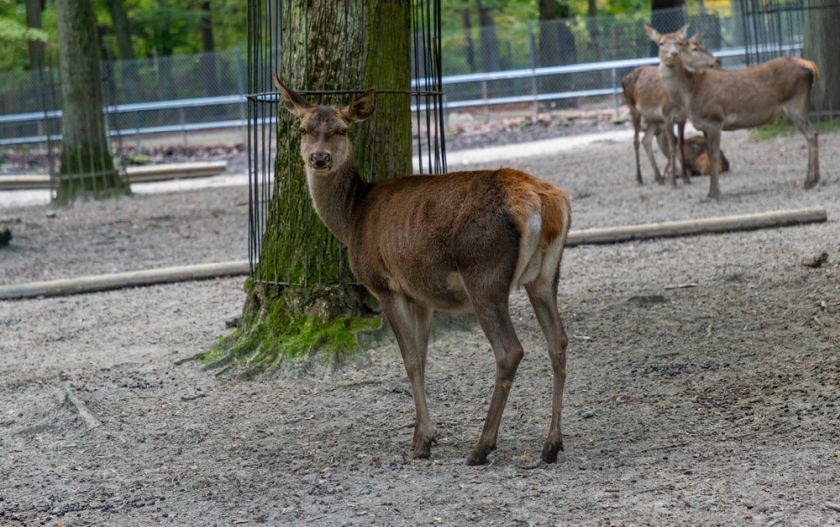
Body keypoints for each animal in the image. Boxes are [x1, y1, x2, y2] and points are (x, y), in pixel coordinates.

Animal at [272, 75, 576, 466]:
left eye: (342, 129)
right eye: (303, 128)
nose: (319, 158)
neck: (351, 219)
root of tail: (545, 201)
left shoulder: (385, 284)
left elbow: (410, 359)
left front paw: (422, 442)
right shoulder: (422, 296)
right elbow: (425, 356)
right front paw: (424, 433)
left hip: (484, 274)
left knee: (510, 350)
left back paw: (482, 446)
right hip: (545, 274)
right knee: (558, 341)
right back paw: (552, 444)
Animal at [620, 36, 720, 186]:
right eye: (694, 49)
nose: (716, 60)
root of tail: (623, 80)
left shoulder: (682, 118)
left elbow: (681, 144)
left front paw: (686, 179)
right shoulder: (667, 115)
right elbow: (673, 145)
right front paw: (674, 181)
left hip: (653, 119)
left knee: (646, 140)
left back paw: (659, 177)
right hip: (633, 108)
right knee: (636, 140)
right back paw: (640, 178)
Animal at [648, 22, 820, 201]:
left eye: (681, 43)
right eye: (661, 43)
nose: (673, 54)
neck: (690, 94)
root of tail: (810, 66)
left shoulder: (715, 119)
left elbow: (714, 155)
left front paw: (715, 193)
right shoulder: (703, 126)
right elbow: (710, 155)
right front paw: (710, 192)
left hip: (795, 104)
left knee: (811, 134)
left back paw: (810, 181)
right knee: (814, 133)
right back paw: (814, 179)